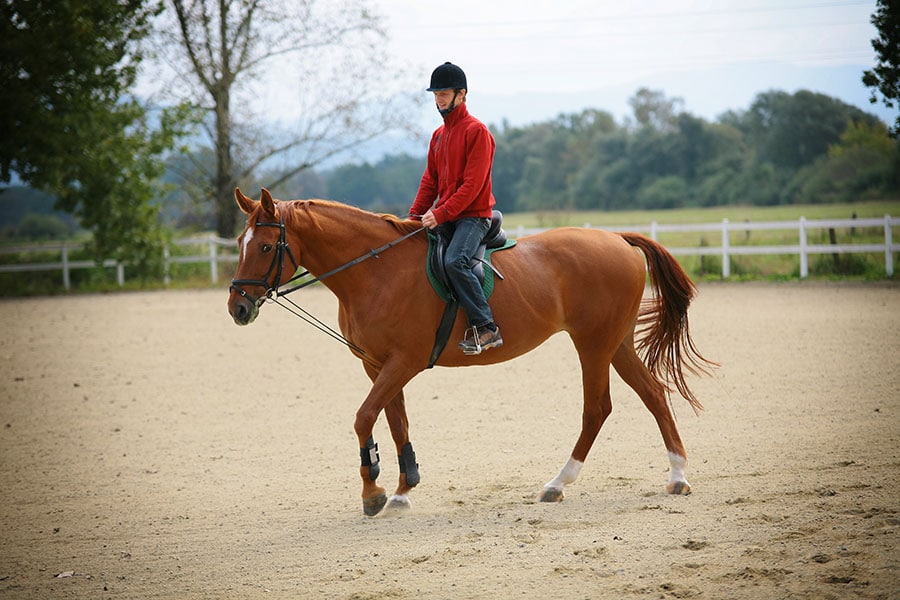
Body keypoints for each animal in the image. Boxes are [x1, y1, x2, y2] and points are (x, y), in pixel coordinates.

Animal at [227, 188, 716, 516]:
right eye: (239, 245)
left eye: (266, 246)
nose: (238, 306)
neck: (375, 271)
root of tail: (618, 239)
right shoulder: (377, 365)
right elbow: (397, 421)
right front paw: (403, 489)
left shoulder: (403, 362)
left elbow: (364, 417)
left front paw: (373, 493)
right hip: (615, 343)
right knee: (653, 394)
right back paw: (677, 476)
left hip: (593, 343)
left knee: (597, 408)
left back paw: (558, 483)